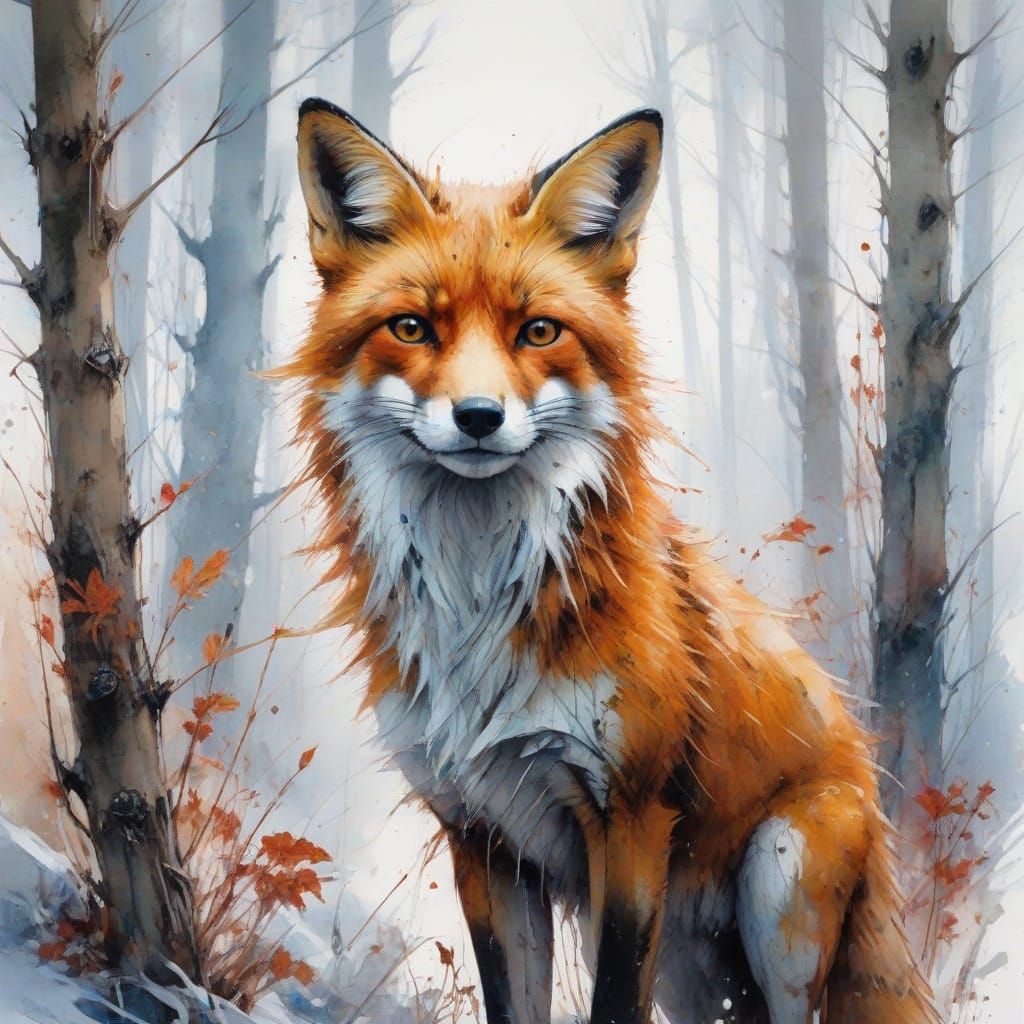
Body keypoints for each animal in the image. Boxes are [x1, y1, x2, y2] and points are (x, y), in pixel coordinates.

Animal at [280, 98, 938, 1024]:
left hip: (779, 892)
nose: (478, 417)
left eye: (538, 331)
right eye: (412, 327)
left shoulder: (630, 821)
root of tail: (869, 778)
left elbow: (614, 1003)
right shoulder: (482, 834)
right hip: (697, 976)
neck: (478, 603)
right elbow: (513, 1004)